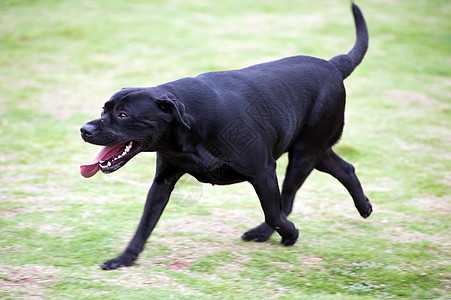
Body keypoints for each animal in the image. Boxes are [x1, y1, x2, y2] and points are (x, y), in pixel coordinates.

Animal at [80, 2, 370, 270]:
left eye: (123, 114)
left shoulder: (263, 171)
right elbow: (144, 224)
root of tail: (333, 65)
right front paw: (124, 259)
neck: (190, 125)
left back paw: (269, 232)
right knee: (346, 168)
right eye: (104, 109)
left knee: (286, 201)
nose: (85, 129)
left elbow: (274, 214)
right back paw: (365, 207)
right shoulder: (163, 181)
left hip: (303, 153)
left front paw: (291, 233)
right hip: (314, 150)